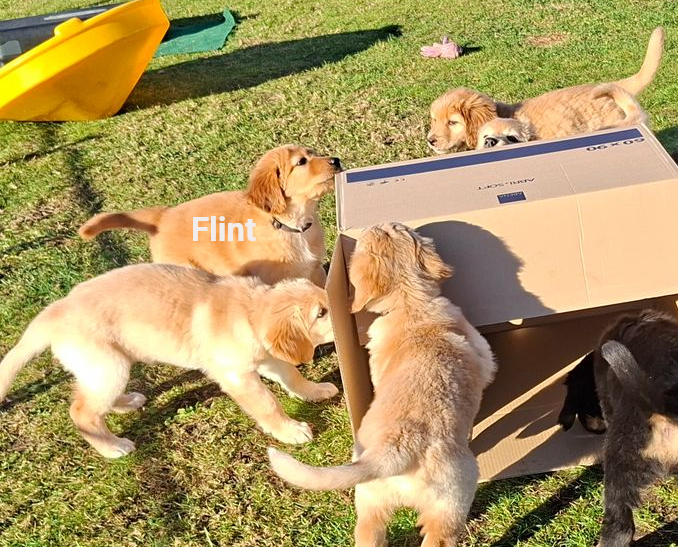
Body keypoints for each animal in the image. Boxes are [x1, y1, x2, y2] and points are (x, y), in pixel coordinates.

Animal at [0, 264, 337, 458]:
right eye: (321, 313)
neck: (250, 310)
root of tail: (54, 310)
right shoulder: (236, 375)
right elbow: (268, 404)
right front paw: (289, 431)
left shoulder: (267, 357)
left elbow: (293, 376)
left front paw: (316, 391)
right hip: (108, 365)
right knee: (82, 411)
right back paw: (113, 447)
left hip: (111, 366)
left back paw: (127, 401)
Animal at [79, 145, 342, 286]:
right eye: (301, 162)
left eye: (313, 154)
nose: (336, 160)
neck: (292, 225)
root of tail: (163, 215)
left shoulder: (315, 270)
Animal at [268, 222, 496, 547]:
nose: (380, 223)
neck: (409, 304)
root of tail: (396, 449)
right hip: (453, 499)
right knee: (438, 537)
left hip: (369, 501)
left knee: (368, 533)